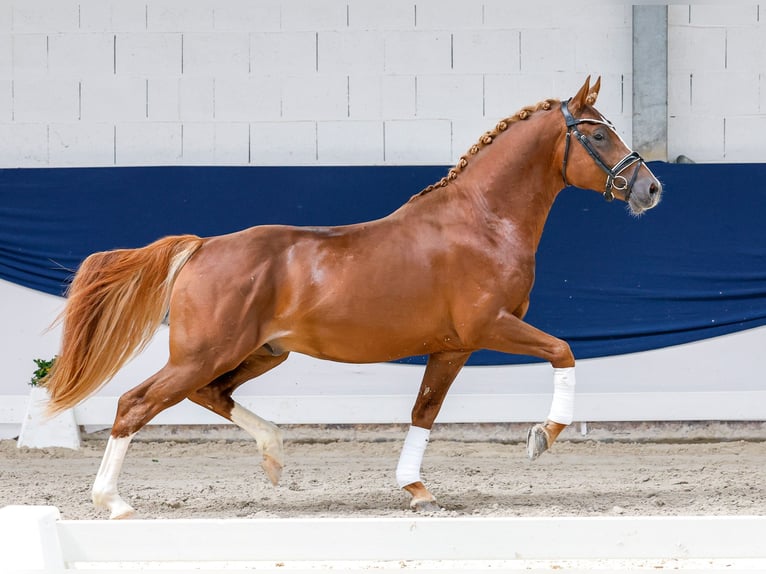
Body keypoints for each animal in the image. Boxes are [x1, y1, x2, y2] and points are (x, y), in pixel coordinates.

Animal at [44, 77, 662, 518]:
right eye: (598, 134)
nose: (650, 188)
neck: (483, 222)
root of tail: (201, 247)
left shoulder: (452, 346)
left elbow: (425, 410)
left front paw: (417, 489)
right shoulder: (489, 327)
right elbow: (563, 351)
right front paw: (541, 437)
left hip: (258, 353)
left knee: (209, 395)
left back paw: (274, 454)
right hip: (206, 353)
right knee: (136, 403)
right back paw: (114, 502)